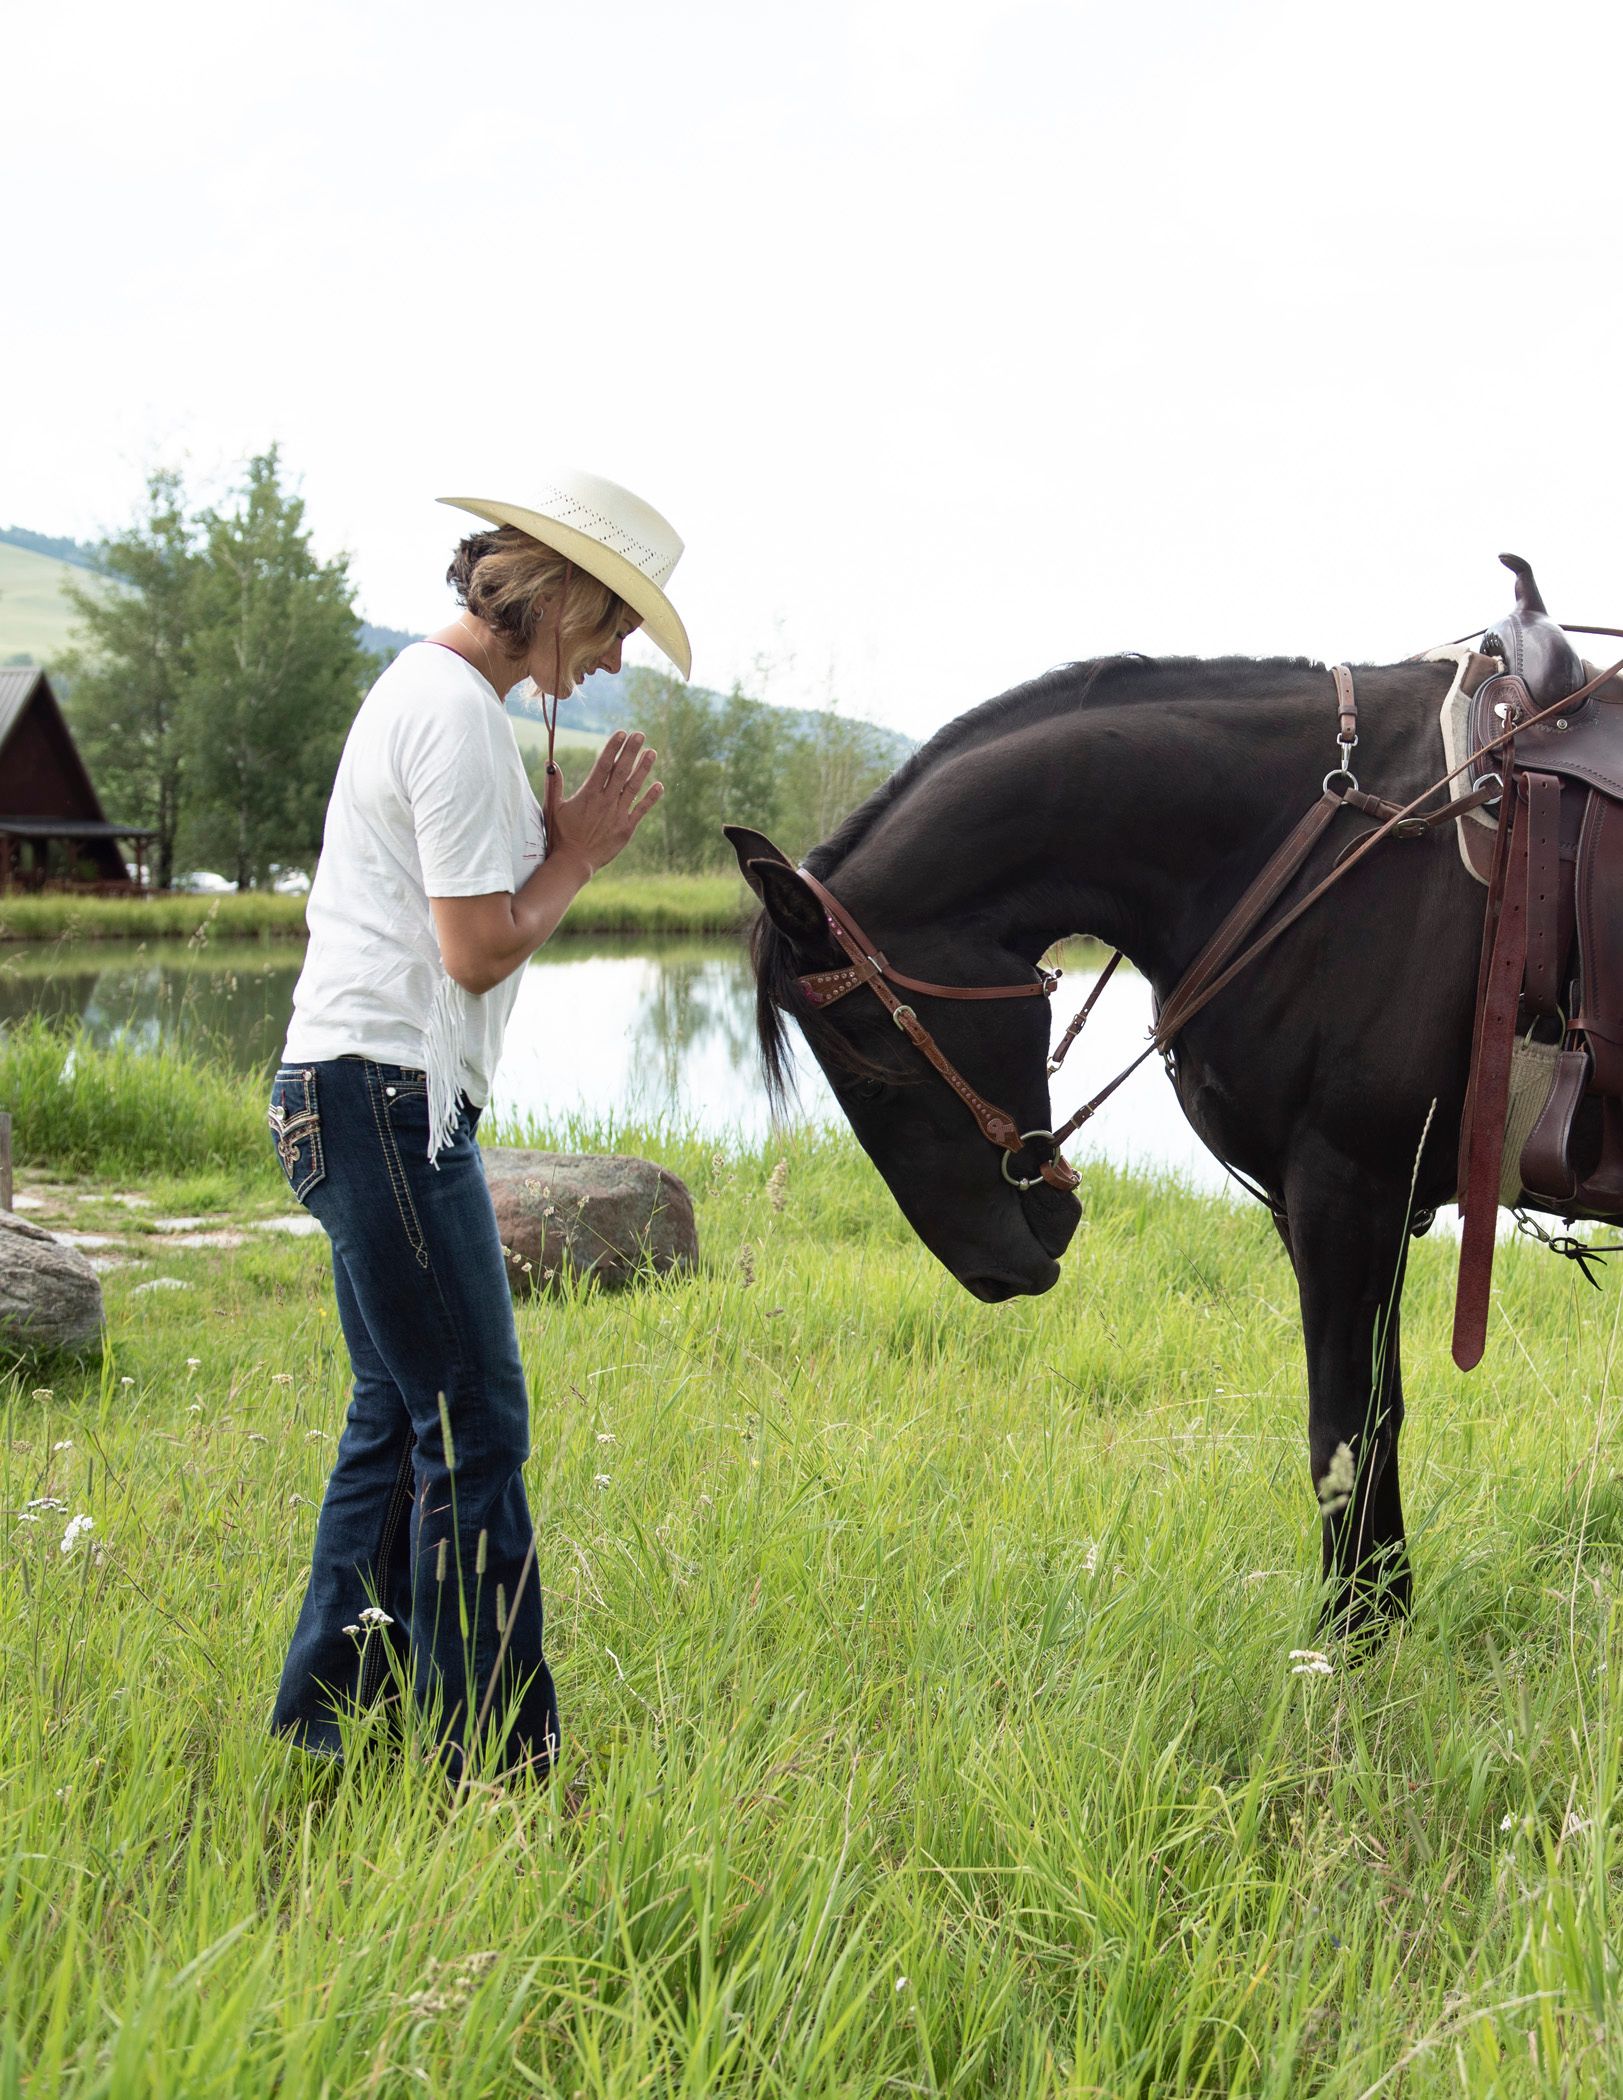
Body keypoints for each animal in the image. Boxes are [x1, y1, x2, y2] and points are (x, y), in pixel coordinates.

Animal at [730, 646, 1494, 1629]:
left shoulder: (1348, 1189)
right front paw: (1381, 1615)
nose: (992, 1273)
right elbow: (1377, 1414)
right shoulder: (1333, 1209)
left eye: (869, 1072)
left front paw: (1351, 1638)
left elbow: (1344, 1426)